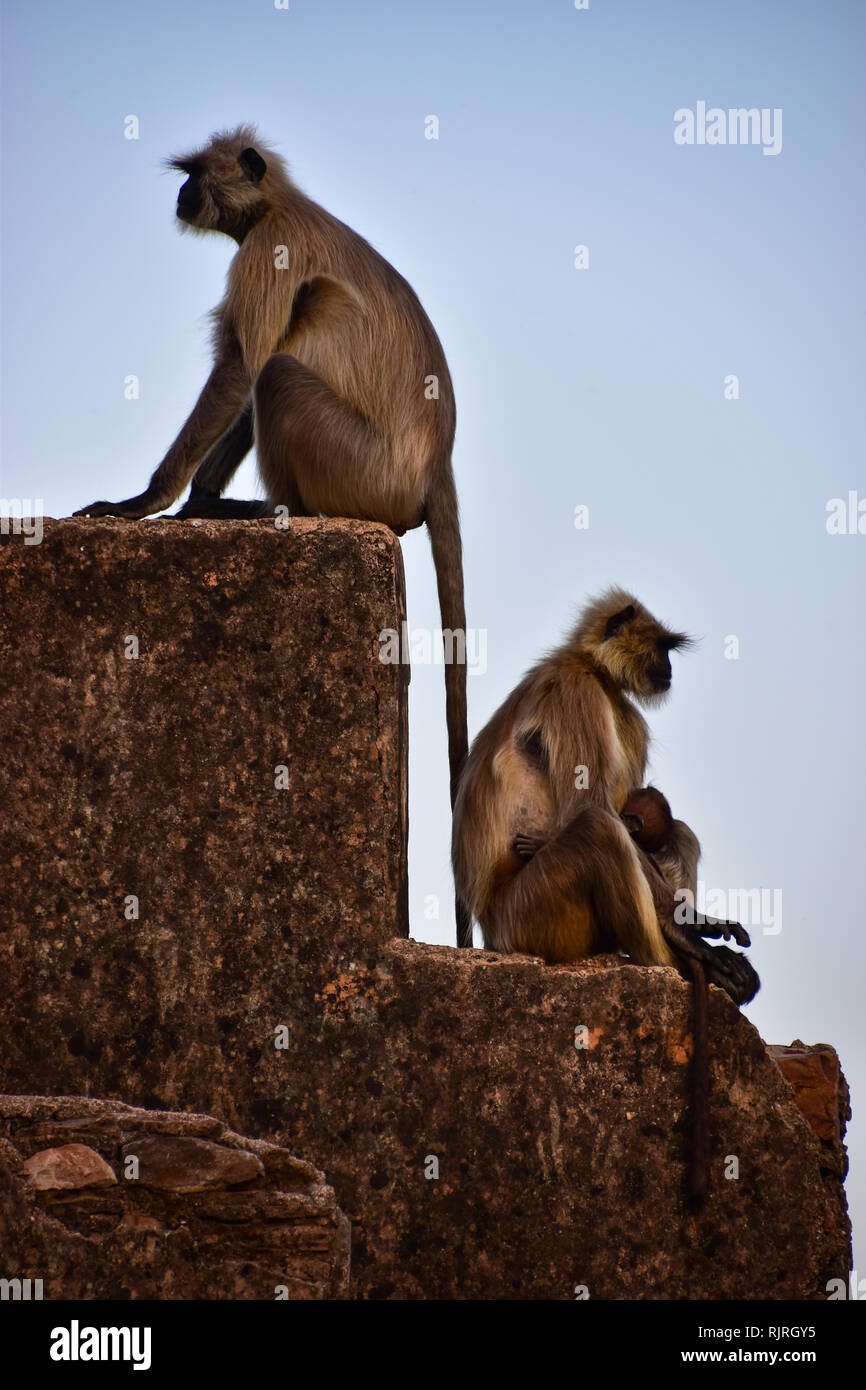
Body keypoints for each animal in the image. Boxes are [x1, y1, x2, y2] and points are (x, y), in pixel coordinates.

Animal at [73, 125, 469, 941]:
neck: (280, 206)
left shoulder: (265, 252)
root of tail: (435, 464)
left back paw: (284, 515)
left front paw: (147, 500)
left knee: (278, 373)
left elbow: (241, 370)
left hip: (359, 469)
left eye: (196, 175)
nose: (181, 194)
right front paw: (195, 500)